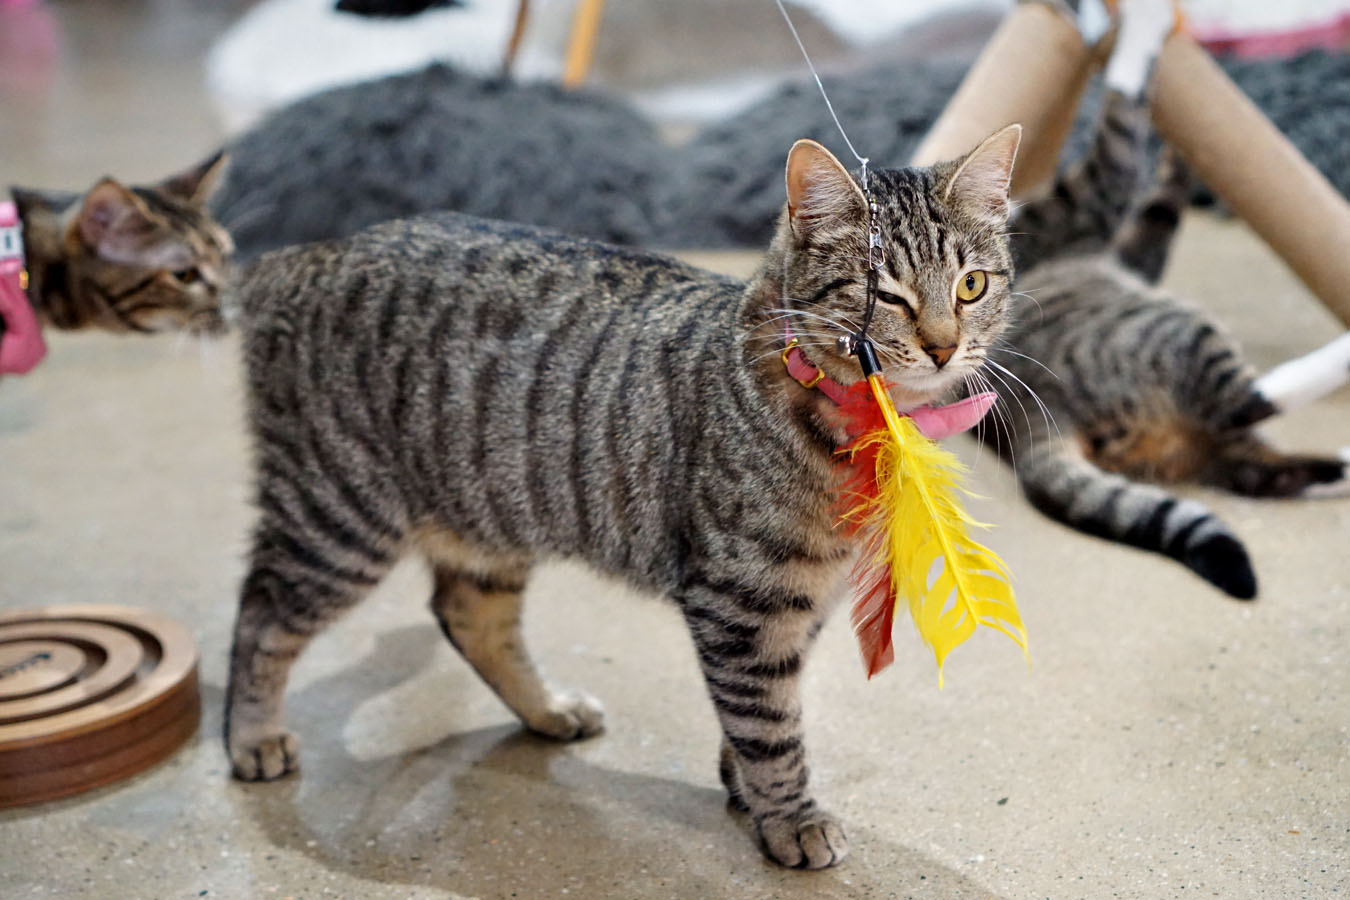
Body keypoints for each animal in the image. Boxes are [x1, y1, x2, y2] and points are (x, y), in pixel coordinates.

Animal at [221, 123, 1020, 868]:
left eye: (971, 286)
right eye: (883, 292)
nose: (944, 347)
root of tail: (303, 255)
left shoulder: (802, 600)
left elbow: (761, 707)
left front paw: (745, 785)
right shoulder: (742, 601)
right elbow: (768, 722)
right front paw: (790, 815)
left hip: (489, 512)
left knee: (467, 615)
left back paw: (548, 710)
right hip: (337, 515)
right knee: (260, 614)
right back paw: (251, 736)